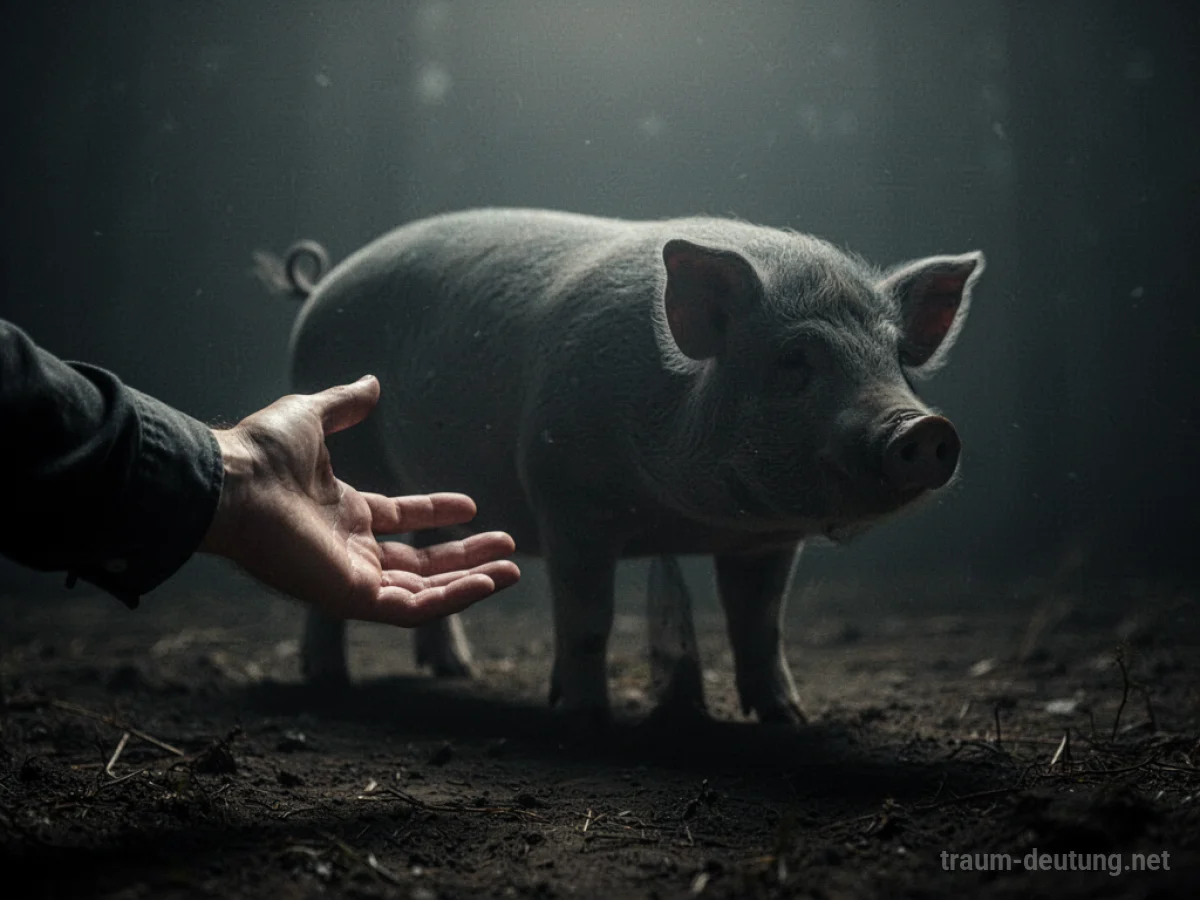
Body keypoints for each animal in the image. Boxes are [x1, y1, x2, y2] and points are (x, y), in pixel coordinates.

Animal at [264, 209, 984, 728]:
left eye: (897, 357)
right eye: (793, 359)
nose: (924, 428)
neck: (692, 520)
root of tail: (320, 286)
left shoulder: (766, 541)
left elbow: (761, 625)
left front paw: (789, 717)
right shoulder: (567, 500)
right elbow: (588, 618)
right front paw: (584, 715)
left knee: (428, 548)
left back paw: (455, 673)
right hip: (352, 462)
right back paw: (328, 682)